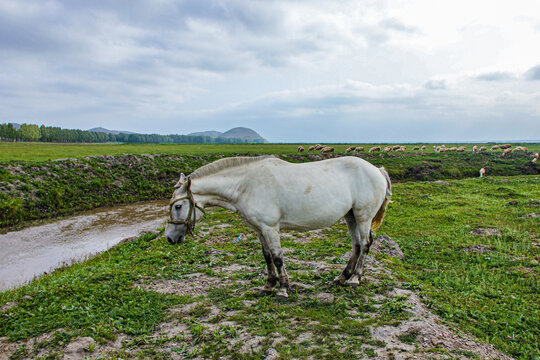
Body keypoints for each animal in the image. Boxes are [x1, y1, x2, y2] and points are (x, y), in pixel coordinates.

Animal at [165, 155, 392, 298]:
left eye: (178, 206)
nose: (169, 238)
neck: (246, 185)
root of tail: (377, 169)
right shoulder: (259, 230)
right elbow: (267, 257)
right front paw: (268, 285)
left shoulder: (270, 228)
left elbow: (277, 257)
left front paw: (283, 289)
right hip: (350, 216)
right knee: (356, 245)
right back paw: (342, 277)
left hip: (363, 217)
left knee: (365, 244)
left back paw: (355, 279)